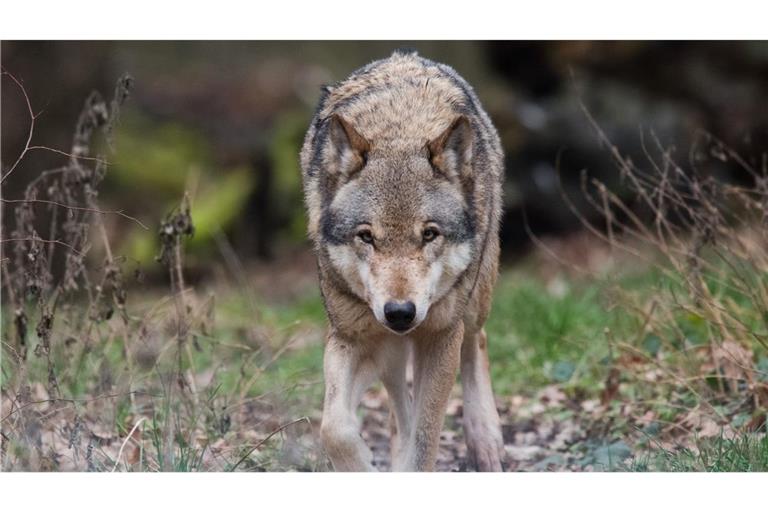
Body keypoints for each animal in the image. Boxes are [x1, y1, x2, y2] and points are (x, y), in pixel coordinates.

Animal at [300, 49, 505, 471]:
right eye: (366, 236)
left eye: (429, 234)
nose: (399, 312)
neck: (400, 129)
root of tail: (407, 56)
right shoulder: (351, 335)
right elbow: (334, 428)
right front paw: (362, 463)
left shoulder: (441, 336)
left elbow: (425, 441)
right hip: (389, 349)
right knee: (398, 402)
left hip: (473, 302)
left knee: (477, 340)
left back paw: (486, 442)